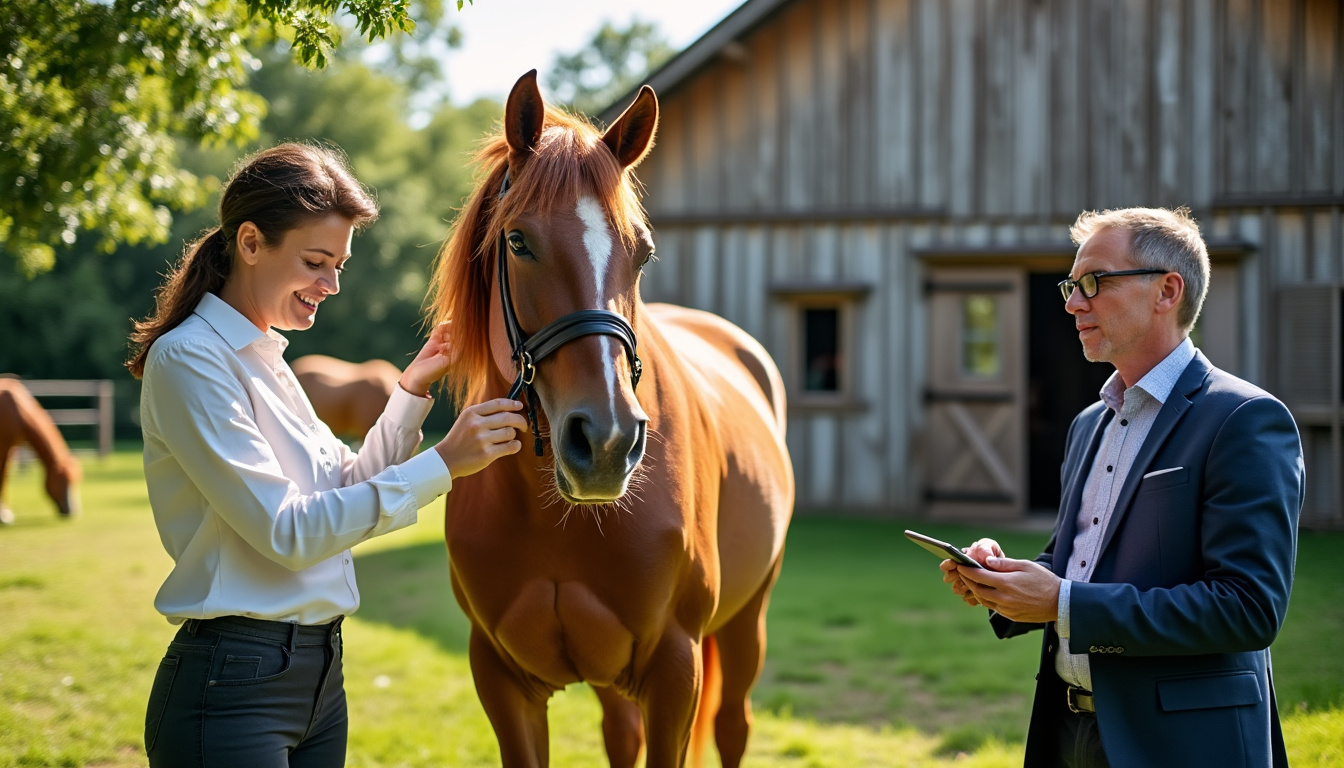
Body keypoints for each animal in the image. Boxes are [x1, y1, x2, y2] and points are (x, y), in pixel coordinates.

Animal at [0, 378, 82, 524]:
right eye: (64, 480)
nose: (71, 511)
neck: (17, 409)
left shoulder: (11, 448)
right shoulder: (4, 447)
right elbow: (3, 477)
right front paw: (4, 516)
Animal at [427, 70, 794, 768]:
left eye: (642, 253)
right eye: (518, 241)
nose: (606, 441)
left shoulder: (675, 672)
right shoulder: (501, 679)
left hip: (748, 620)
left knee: (733, 725)